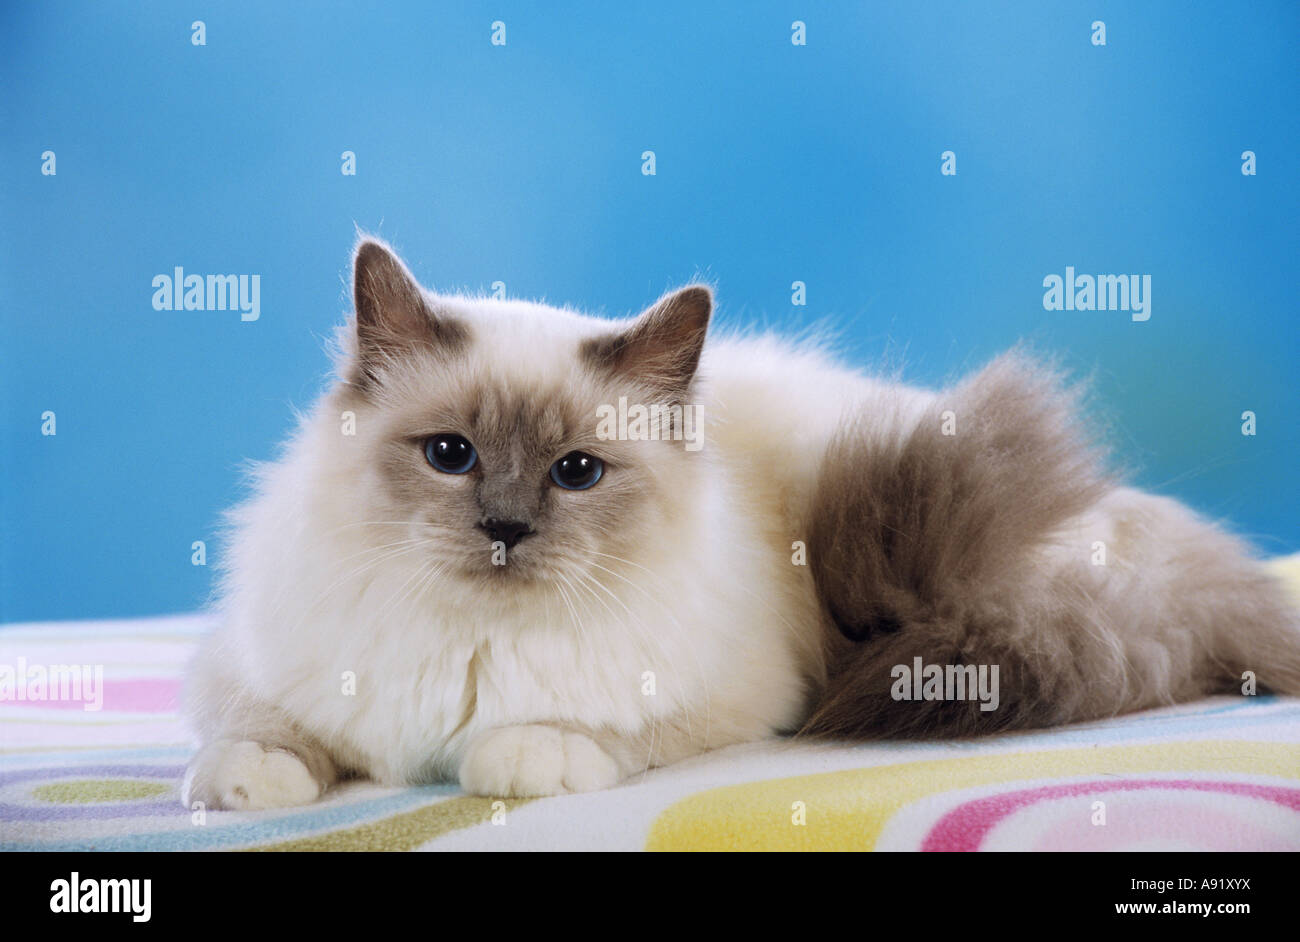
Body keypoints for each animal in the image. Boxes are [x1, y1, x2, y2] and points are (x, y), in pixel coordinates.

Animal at [180, 239, 1300, 805]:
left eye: (577, 472)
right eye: (450, 456)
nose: (504, 529)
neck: (471, 642)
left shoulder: (739, 697)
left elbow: (575, 736)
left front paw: (520, 758)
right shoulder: (253, 665)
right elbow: (260, 733)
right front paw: (249, 784)